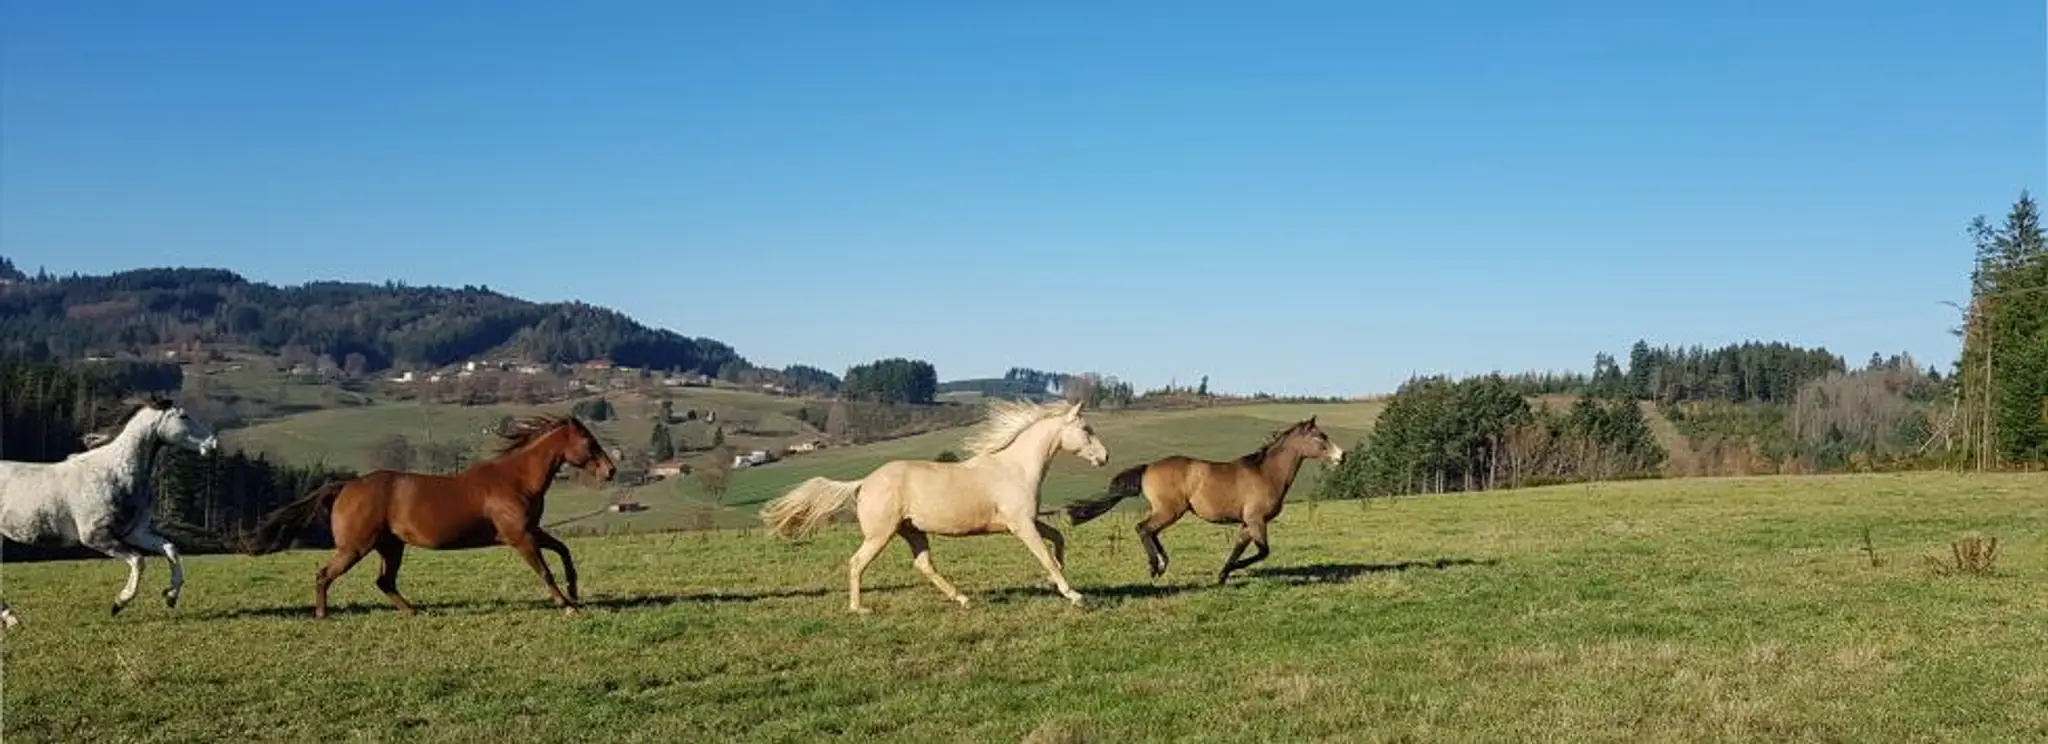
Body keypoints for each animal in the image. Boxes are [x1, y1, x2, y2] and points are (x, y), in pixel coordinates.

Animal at [0, 396, 220, 628]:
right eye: (183, 416)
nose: (213, 444)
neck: (114, 473)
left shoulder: (134, 533)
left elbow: (170, 548)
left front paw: (170, 596)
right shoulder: (96, 537)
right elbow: (138, 560)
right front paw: (119, 603)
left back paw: (11, 619)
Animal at [244, 414, 616, 619]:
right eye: (589, 442)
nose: (611, 471)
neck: (516, 479)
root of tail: (346, 485)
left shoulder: (530, 530)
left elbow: (564, 551)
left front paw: (575, 591)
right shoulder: (519, 536)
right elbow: (544, 571)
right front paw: (566, 605)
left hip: (390, 546)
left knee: (384, 581)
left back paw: (412, 610)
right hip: (356, 547)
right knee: (324, 574)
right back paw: (322, 614)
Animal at [760, 400, 1109, 614]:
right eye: (1087, 430)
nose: (1105, 458)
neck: (1016, 467)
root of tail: (864, 482)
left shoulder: (1028, 521)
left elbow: (1058, 540)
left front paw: (1059, 576)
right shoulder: (1020, 525)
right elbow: (1045, 556)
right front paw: (1075, 596)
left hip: (912, 531)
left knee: (924, 565)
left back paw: (963, 599)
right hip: (880, 535)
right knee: (857, 563)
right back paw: (860, 608)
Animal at [1064, 416, 1344, 585]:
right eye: (1320, 437)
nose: (1341, 456)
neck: (1266, 473)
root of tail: (1148, 468)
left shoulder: (1247, 522)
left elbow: (1238, 548)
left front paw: (1222, 575)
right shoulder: (1257, 520)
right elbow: (1262, 551)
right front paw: (1233, 570)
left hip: (1168, 511)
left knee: (1151, 532)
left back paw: (1163, 564)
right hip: (1170, 510)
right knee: (1143, 528)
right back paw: (1155, 568)